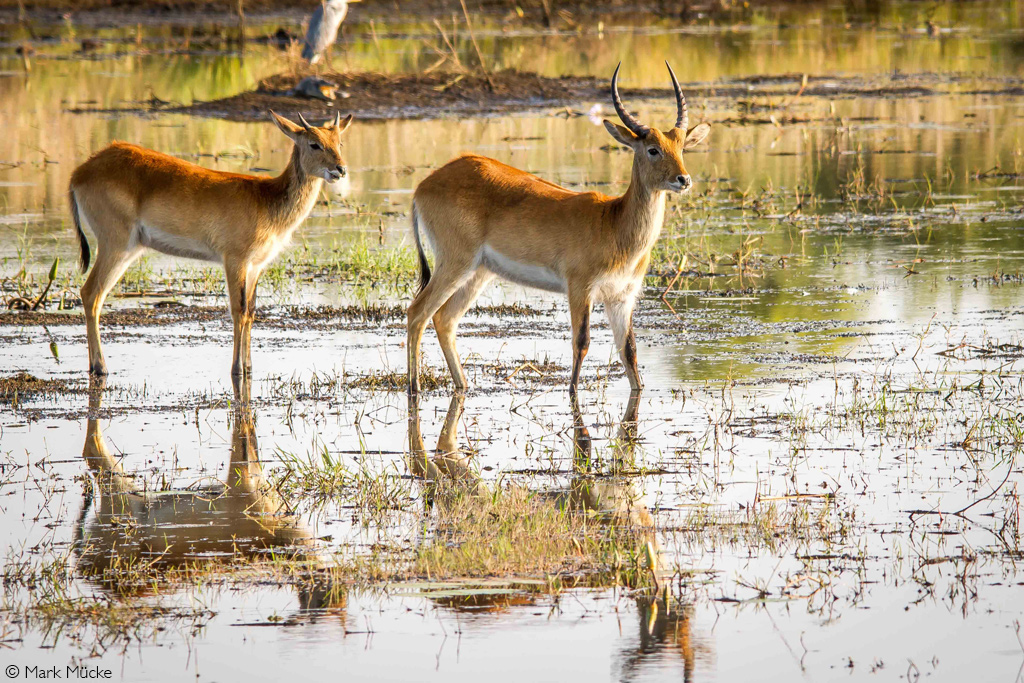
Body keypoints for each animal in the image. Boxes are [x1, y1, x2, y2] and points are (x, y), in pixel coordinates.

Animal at [68, 110, 353, 379]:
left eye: (339, 142)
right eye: (314, 144)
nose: (340, 169)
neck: (267, 199)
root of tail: (80, 172)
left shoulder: (256, 266)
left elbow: (251, 312)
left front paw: (249, 367)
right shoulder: (235, 260)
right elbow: (238, 310)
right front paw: (237, 369)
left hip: (129, 248)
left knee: (94, 295)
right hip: (116, 244)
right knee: (91, 293)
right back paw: (101, 367)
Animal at [407, 62, 710, 396]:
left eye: (681, 147)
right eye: (653, 149)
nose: (684, 179)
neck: (614, 223)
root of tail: (424, 185)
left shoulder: (622, 297)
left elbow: (629, 352)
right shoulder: (580, 288)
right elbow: (582, 342)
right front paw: (572, 394)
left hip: (478, 272)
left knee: (444, 319)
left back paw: (462, 385)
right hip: (455, 263)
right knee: (417, 313)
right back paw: (414, 388)